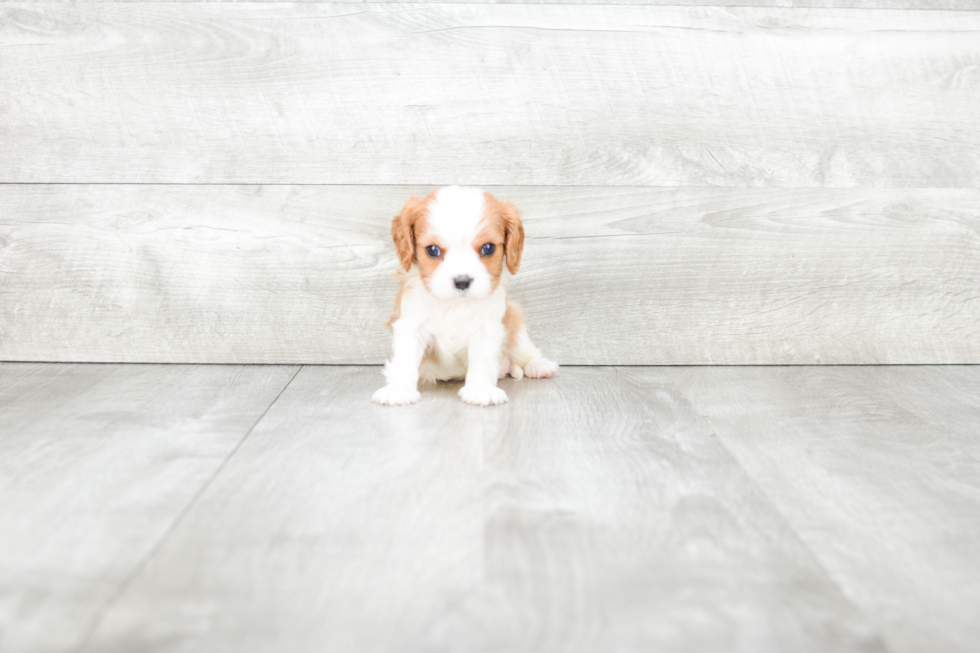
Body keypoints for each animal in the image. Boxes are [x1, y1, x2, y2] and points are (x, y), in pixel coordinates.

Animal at [372, 186, 560, 404]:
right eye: (433, 250)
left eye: (488, 248)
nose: (462, 281)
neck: (454, 305)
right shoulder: (411, 324)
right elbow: (405, 360)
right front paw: (398, 389)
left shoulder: (487, 328)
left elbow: (483, 361)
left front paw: (480, 389)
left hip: (514, 319)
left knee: (524, 350)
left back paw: (538, 365)